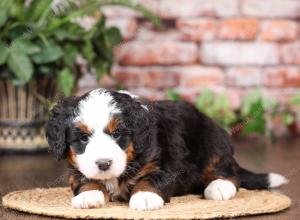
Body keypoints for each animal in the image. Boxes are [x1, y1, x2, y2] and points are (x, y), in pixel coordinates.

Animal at [45, 88, 288, 211]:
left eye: (117, 134)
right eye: (82, 138)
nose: (103, 164)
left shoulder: (164, 162)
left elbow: (151, 179)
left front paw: (144, 197)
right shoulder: (78, 167)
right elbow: (83, 179)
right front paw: (89, 194)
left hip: (213, 141)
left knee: (228, 173)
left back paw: (218, 187)